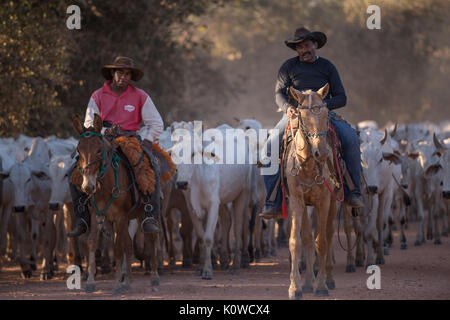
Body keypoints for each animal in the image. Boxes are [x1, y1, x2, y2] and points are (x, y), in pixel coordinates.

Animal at [72, 114, 160, 294]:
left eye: (99, 149)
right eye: (79, 150)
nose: (88, 186)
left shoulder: (120, 216)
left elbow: (118, 247)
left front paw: (117, 284)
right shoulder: (97, 215)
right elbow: (93, 242)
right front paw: (91, 282)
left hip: (145, 214)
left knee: (151, 237)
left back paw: (154, 277)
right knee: (128, 243)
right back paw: (128, 281)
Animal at [284, 84, 342, 298]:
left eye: (325, 114)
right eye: (303, 115)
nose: (322, 153)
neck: (308, 166)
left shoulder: (324, 201)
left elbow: (322, 242)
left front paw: (322, 285)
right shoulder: (296, 201)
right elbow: (297, 241)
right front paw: (295, 287)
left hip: (333, 203)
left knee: (329, 233)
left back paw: (329, 279)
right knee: (308, 239)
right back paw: (308, 282)